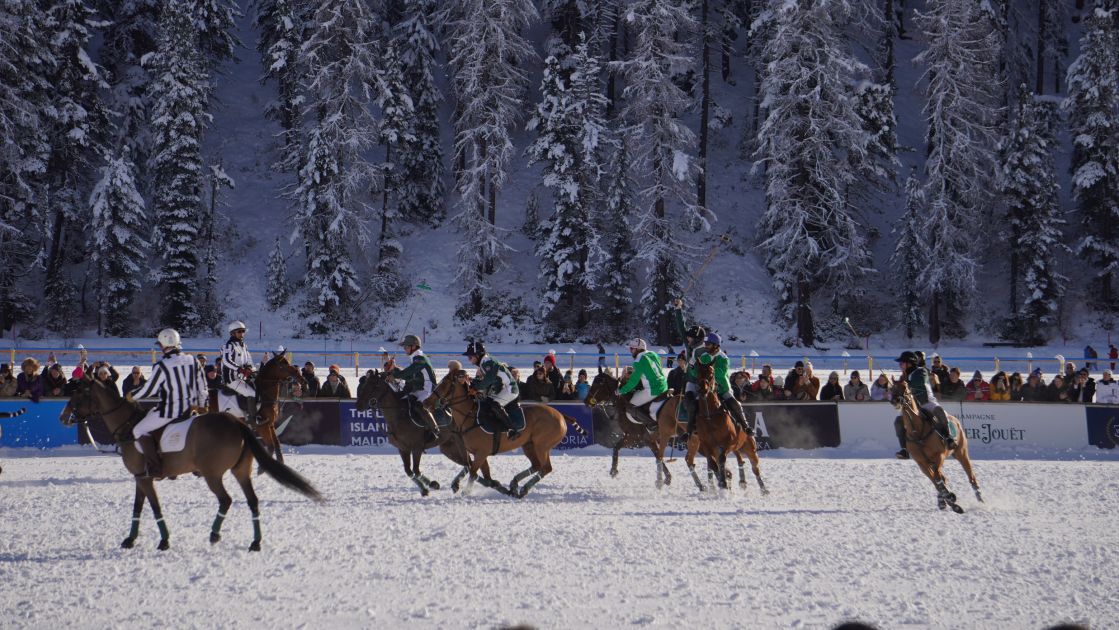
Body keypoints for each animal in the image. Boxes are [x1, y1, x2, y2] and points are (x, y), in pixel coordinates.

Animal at [59, 378, 322, 550]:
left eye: (79, 393)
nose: (63, 417)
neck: (128, 427)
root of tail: (237, 423)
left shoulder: (144, 478)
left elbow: (154, 508)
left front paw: (164, 540)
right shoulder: (140, 477)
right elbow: (138, 508)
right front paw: (130, 539)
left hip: (213, 474)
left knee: (226, 500)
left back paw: (214, 534)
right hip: (240, 471)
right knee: (252, 501)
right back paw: (255, 542)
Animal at [355, 369, 474, 499]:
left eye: (374, 385)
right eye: (364, 385)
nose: (358, 406)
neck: (398, 416)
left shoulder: (417, 448)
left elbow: (416, 470)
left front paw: (427, 487)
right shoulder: (403, 449)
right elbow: (409, 471)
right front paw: (430, 485)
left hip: (460, 441)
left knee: (469, 463)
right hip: (449, 447)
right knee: (468, 463)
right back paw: (458, 484)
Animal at [427, 369, 586, 499]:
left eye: (444, 385)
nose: (426, 402)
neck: (470, 417)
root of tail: (560, 415)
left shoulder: (481, 452)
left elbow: (473, 471)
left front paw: (466, 491)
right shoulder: (478, 453)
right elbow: (481, 474)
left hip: (542, 445)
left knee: (545, 468)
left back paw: (523, 488)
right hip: (529, 445)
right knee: (536, 465)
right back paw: (515, 484)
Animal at [684, 364, 765, 492]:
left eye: (711, 374)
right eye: (697, 373)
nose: (702, 390)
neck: (709, 415)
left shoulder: (727, 443)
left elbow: (721, 461)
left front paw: (724, 481)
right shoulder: (706, 445)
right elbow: (713, 464)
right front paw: (724, 480)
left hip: (749, 447)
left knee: (754, 467)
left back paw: (763, 490)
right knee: (739, 459)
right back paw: (740, 481)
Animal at [886, 380, 984, 512]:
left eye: (905, 387)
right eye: (892, 388)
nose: (895, 400)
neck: (917, 432)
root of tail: (955, 420)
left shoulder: (939, 456)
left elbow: (937, 478)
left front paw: (951, 500)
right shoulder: (922, 463)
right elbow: (935, 481)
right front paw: (950, 500)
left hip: (961, 453)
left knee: (971, 476)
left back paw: (980, 499)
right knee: (943, 478)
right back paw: (943, 501)